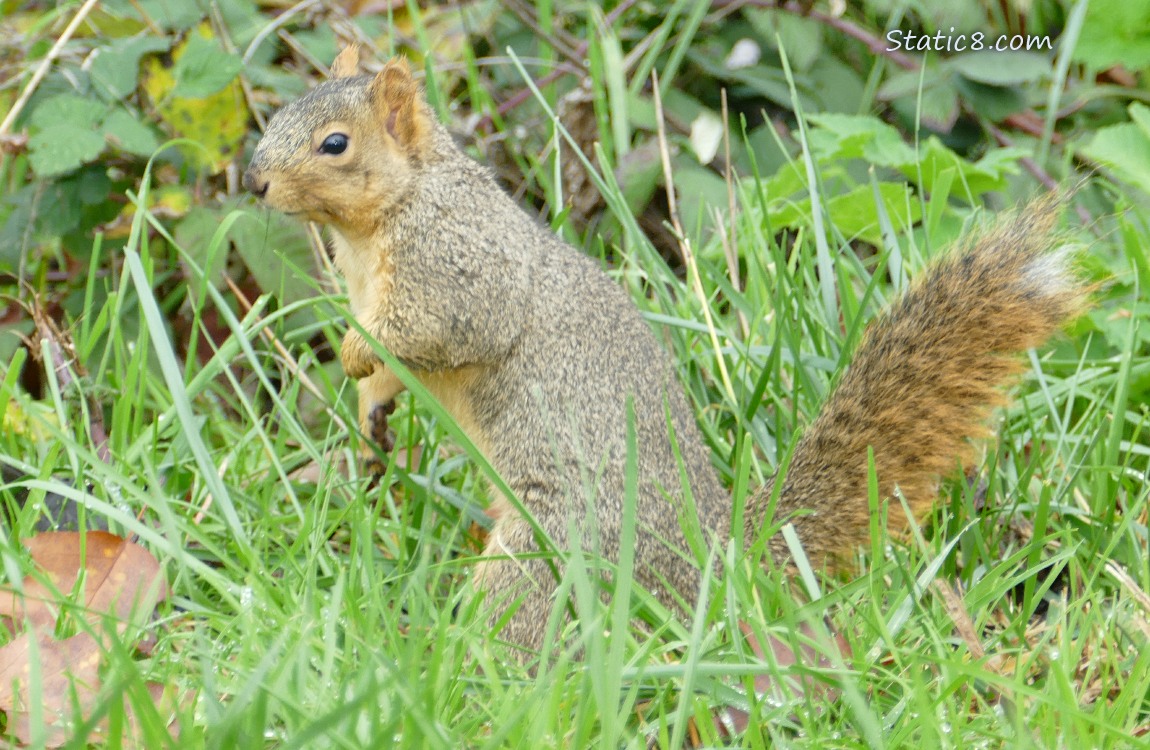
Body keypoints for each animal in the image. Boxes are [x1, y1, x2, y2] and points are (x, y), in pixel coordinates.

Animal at [242, 47, 1086, 655]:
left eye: (334, 144)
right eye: (278, 116)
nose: (252, 183)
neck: (375, 226)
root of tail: (716, 558)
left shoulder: (455, 263)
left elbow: (433, 329)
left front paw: (356, 353)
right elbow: (396, 370)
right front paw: (369, 404)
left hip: (559, 547)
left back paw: (457, 655)